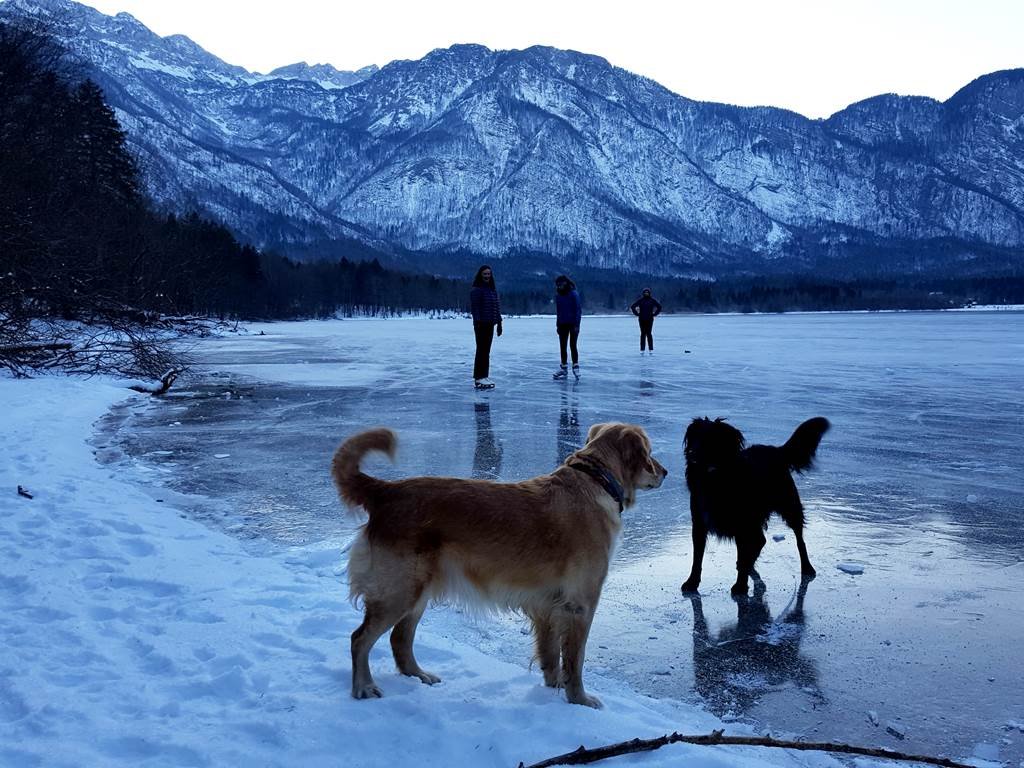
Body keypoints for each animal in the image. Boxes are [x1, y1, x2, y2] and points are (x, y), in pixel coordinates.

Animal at [679, 417, 831, 598]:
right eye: (694, 437)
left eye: (709, 438)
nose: (690, 453)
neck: (714, 477)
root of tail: (776, 450)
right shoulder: (699, 522)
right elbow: (697, 558)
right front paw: (692, 582)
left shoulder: (742, 523)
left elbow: (741, 551)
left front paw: (740, 586)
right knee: (760, 540)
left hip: (789, 505)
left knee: (799, 538)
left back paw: (807, 567)